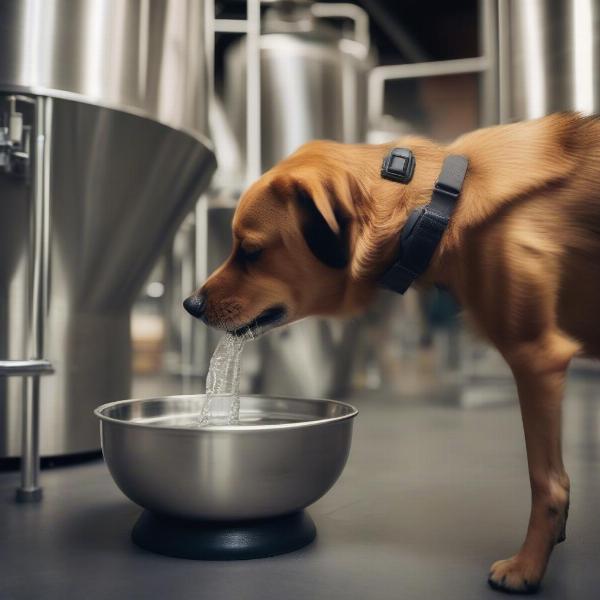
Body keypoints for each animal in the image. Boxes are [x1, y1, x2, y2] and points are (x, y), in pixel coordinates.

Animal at [185, 113, 600, 596]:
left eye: (251, 251)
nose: (189, 304)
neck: (440, 203)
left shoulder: (535, 356)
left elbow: (545, 480)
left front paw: (528, 566)